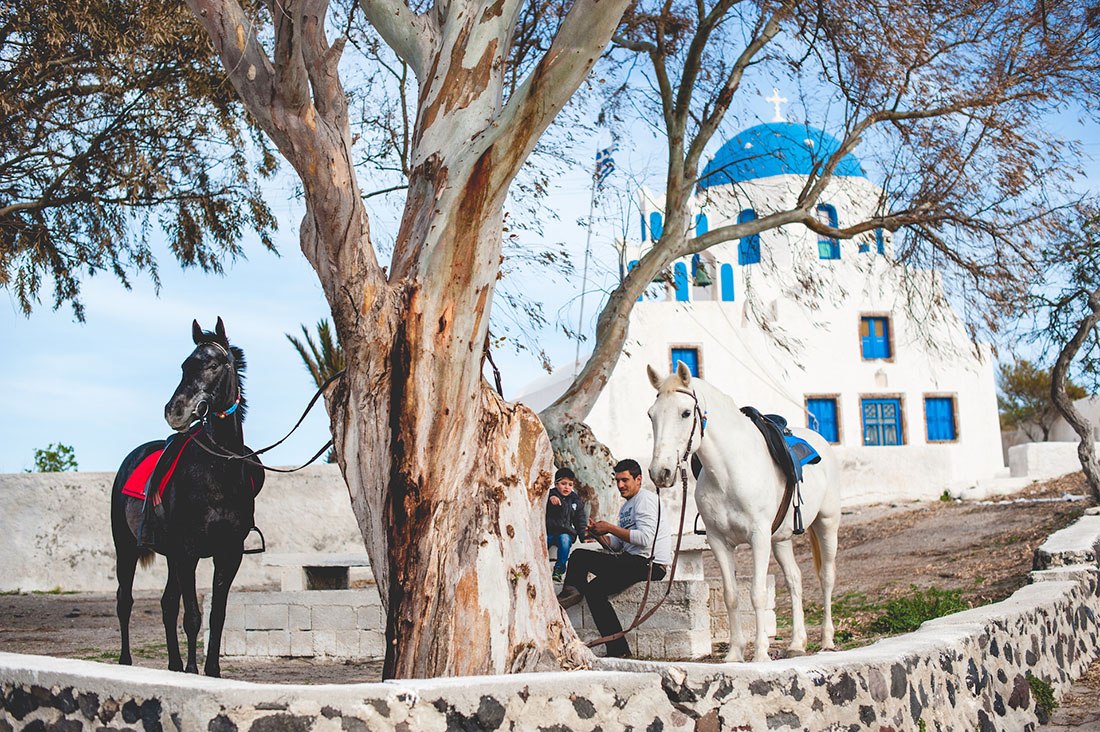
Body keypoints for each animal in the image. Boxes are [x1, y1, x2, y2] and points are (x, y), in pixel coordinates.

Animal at [111, 317, 264, 678]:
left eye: (213, 365)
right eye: (184, 366)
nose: (175, 412)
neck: (219, 472)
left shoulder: (228, 554)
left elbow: (216, 615)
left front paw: (211, 672)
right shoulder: (189, 552)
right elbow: (193, 616)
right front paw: (195, 671)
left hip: (170, 556)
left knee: (167, 604)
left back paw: (174, 665)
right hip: (127, 548)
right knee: (125, 602)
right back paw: (126, 662)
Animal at [646, 361, 836, 660]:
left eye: (685, 413)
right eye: (651, 415)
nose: (660, 472)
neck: (729, 472)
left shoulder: (758, 538)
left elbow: (757, 594)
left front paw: (760, 653)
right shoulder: (719, 542)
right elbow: (731, 596)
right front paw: (735, 653)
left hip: (827, 524)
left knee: (826, 577)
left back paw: (827, 640)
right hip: (780, 540)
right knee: (794, 579)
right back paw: (796, 643)